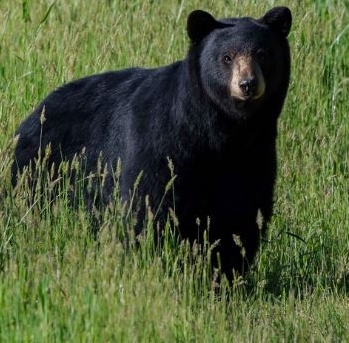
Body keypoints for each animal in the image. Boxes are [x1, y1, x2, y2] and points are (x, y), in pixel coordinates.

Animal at [12, 6, 290, 284]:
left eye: (262, 54)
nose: (248, 84)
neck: (222, 132)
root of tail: (37, 110)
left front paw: (225, 275)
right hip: (41, 167)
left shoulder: (253, 155)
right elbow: (149, 204)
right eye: (227, 57)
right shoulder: (161, 141)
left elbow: (240, 214)